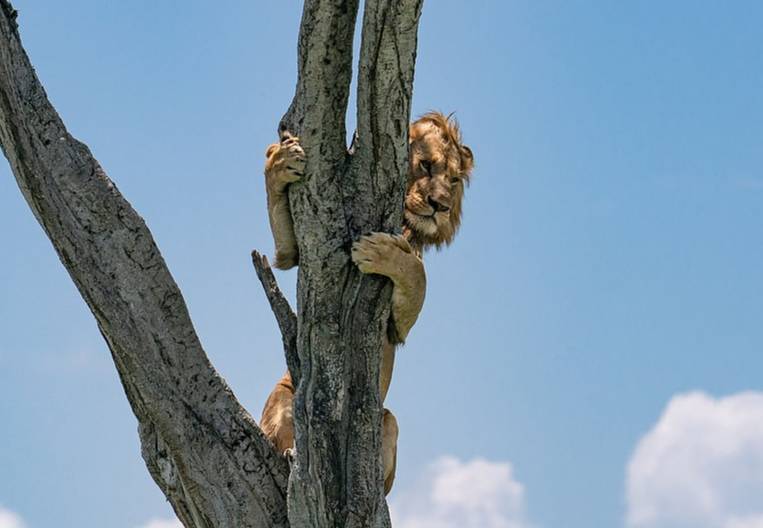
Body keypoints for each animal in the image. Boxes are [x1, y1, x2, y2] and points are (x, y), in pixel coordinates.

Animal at [262, 112, 472, 496]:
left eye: (452, 179)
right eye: (426, 165)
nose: (441, 206)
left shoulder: (398, 324)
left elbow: (418, 272)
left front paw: (378, 251)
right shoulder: (296, 251)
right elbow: (285, 239)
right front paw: (280, 161)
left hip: (389, 419)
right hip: (284, 396)